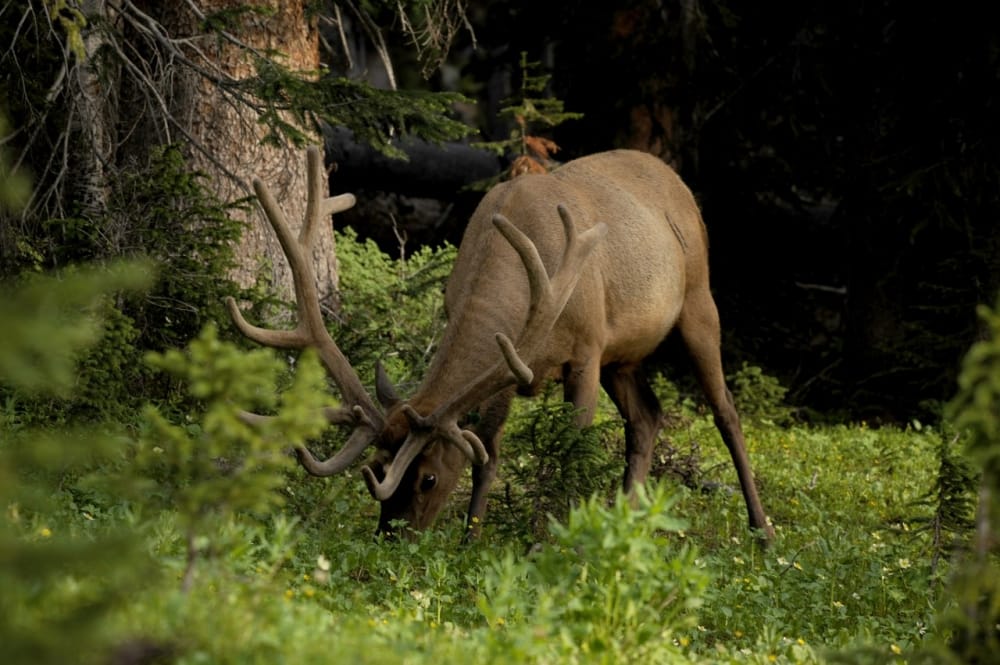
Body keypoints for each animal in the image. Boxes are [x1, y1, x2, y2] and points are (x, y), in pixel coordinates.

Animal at [227, 144, 772, 540]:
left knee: (726, 412)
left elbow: (569, 450)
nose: (391, 536)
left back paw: (762, 529)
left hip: (698, 300)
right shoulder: (511, 366)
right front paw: (471, 540)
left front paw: (545, 540)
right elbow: (487, 452)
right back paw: (626, 523)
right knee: (647, 418)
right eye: (378, 467)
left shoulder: (587, 349)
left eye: (427, 477)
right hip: (625, 357)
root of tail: (673, 176)